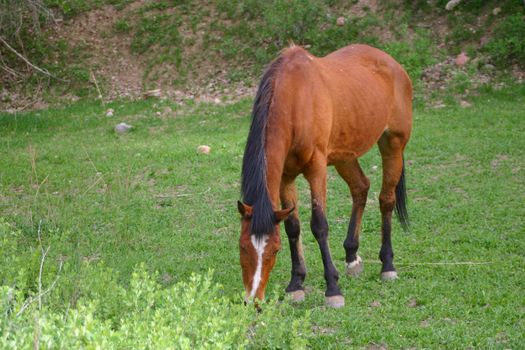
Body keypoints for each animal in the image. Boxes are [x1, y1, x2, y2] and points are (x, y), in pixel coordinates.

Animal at [238, 44, 414, 308]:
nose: (253, 300)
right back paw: (352, 257)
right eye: (242, 247)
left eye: (275, 250)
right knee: (361, 188)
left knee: (386, 200)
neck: (295, 99)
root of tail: (393, 64)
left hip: (393, 144)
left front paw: (332, 288)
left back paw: (388, 265)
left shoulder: (316, 169)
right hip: (345, 155)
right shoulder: (286, 176)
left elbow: (319, 225)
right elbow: (293, 227)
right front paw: (296, 284)